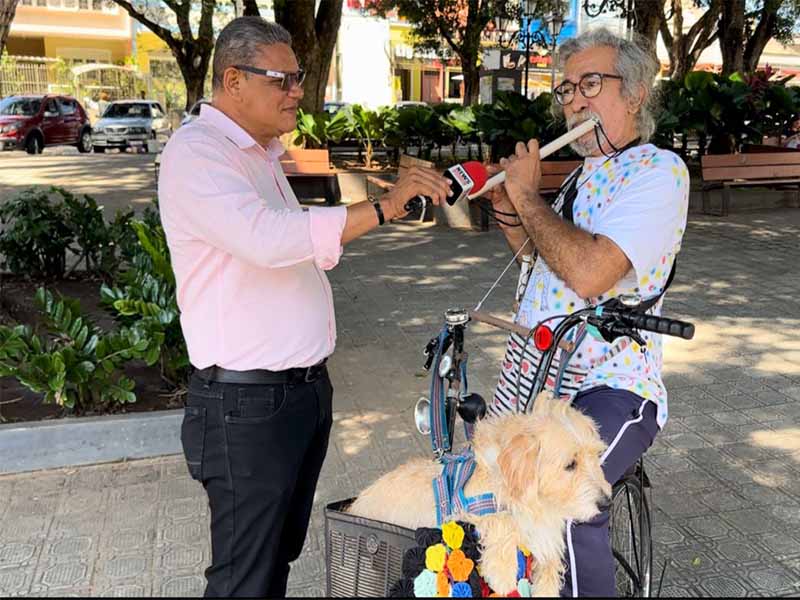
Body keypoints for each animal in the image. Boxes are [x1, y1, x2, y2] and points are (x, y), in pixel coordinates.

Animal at [348, 392, 612, 592]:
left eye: (596, 455)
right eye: (570, 464)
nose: (606, 503)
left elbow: (549, 562)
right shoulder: (467, 514)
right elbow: (502, 526)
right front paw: (503, 572)